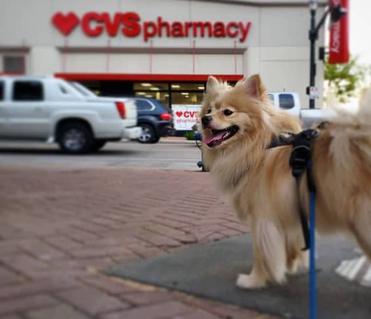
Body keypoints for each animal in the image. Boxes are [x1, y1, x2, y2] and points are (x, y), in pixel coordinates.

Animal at [202, 74, 371, 290]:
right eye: (209, 110)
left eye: (227, 112)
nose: (205, 119)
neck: (258, 147)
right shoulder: (291, 215)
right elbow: (292, 245)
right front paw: (290, 266)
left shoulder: (262, 218)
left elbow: (261, 253)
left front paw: (254, 280)